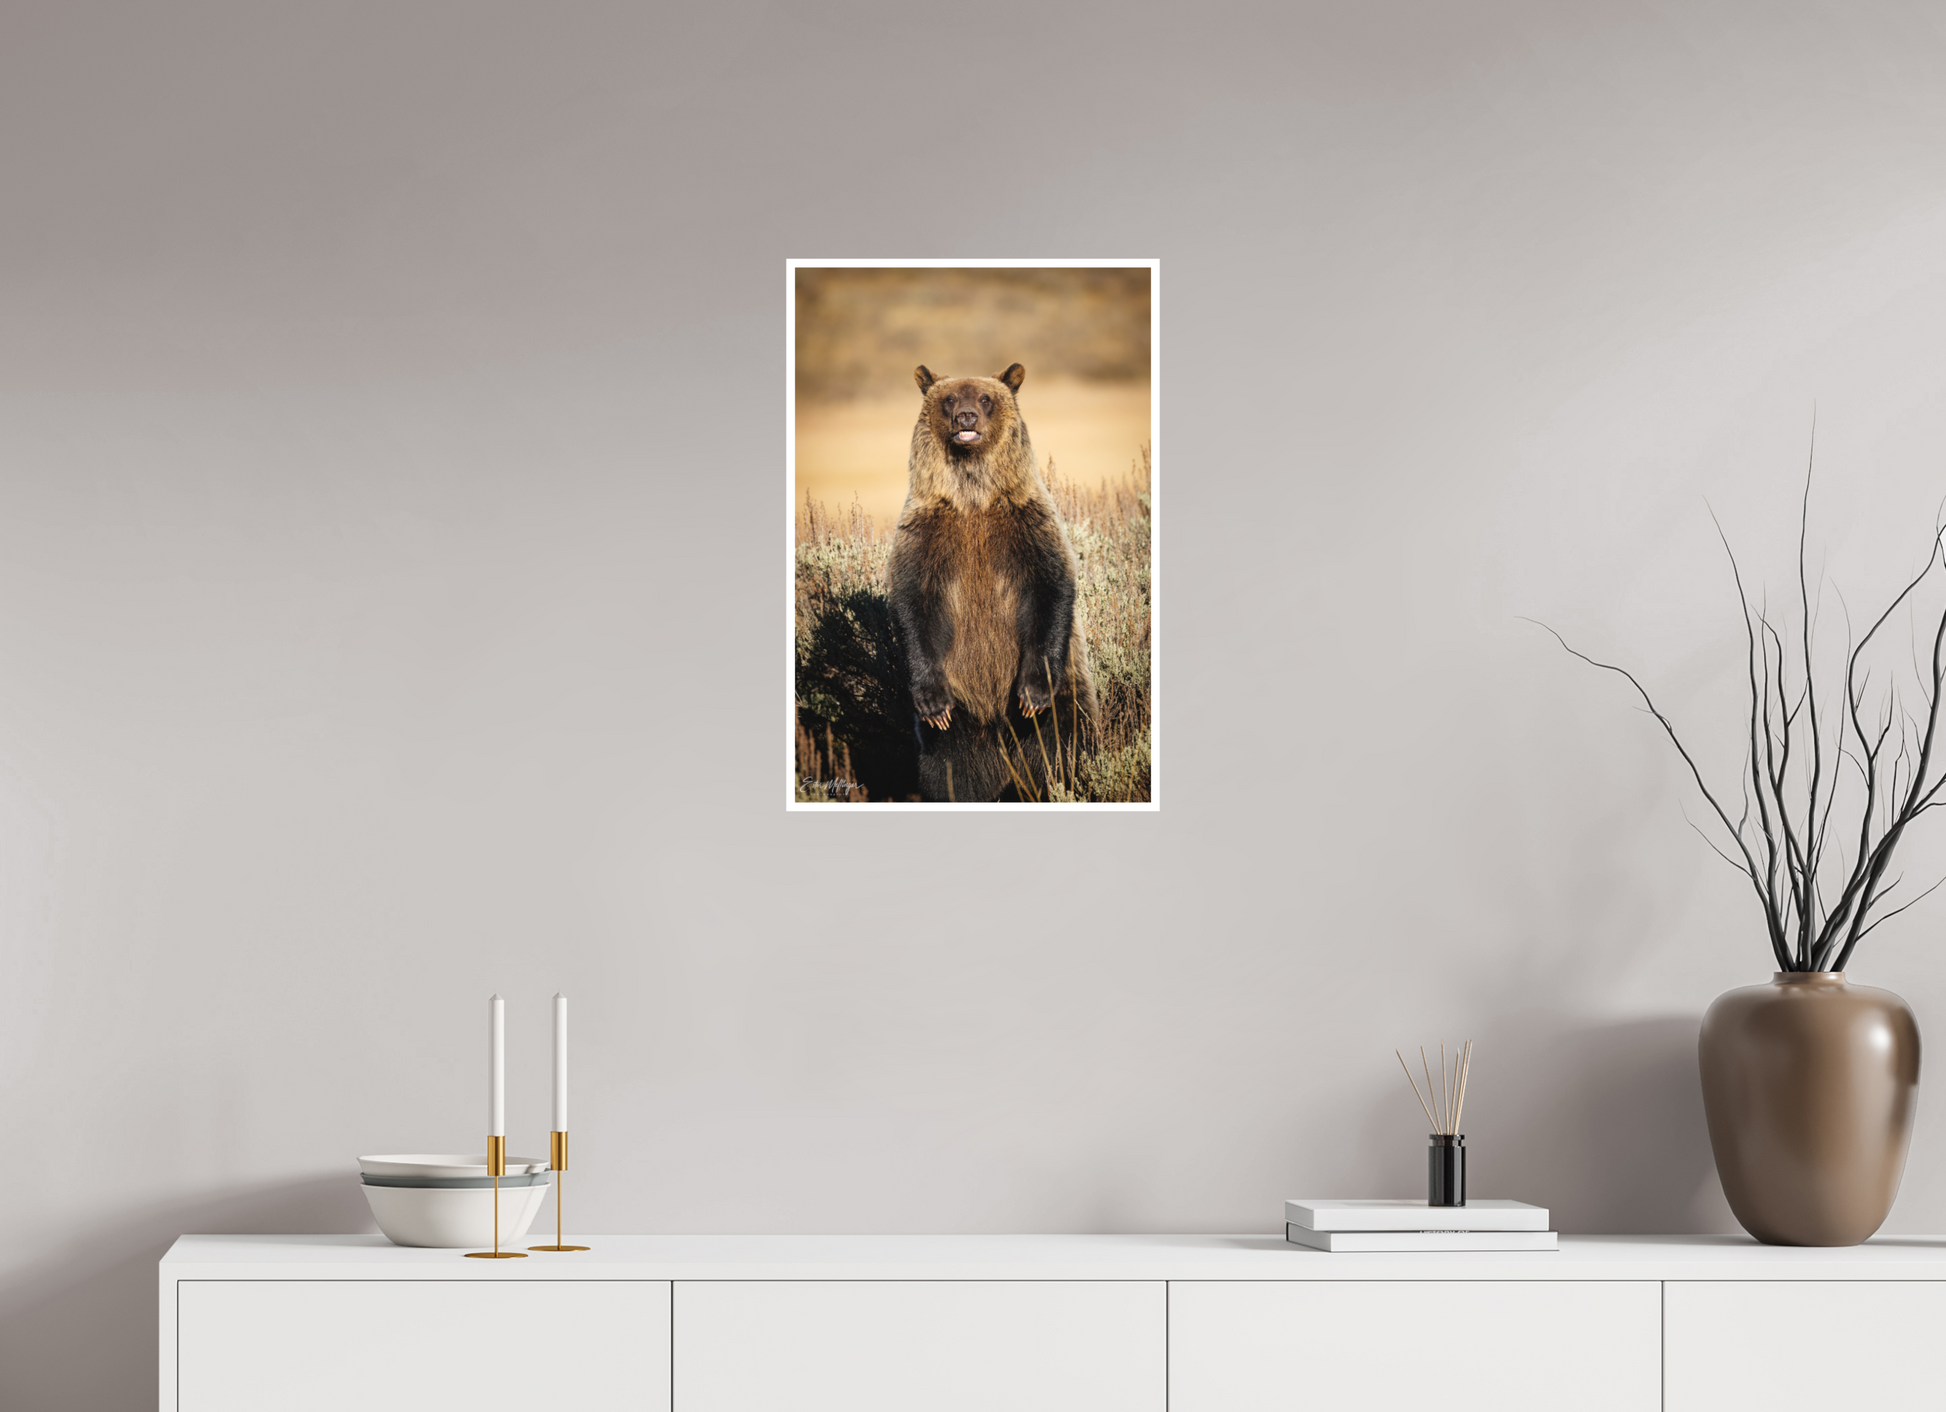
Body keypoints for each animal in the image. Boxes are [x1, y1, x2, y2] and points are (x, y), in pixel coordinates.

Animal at [886, 362, 1098, 802]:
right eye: (950, 398)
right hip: (961, 723)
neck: (974, 496)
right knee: (950, 771)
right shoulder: (927, 532)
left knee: (1062, 748)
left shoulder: (1026, 522)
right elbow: (913, 603)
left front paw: (1033, 693)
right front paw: (932, 703)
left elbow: (1052, 586)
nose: (966, 417)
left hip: (1066, 700)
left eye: (986, 399)